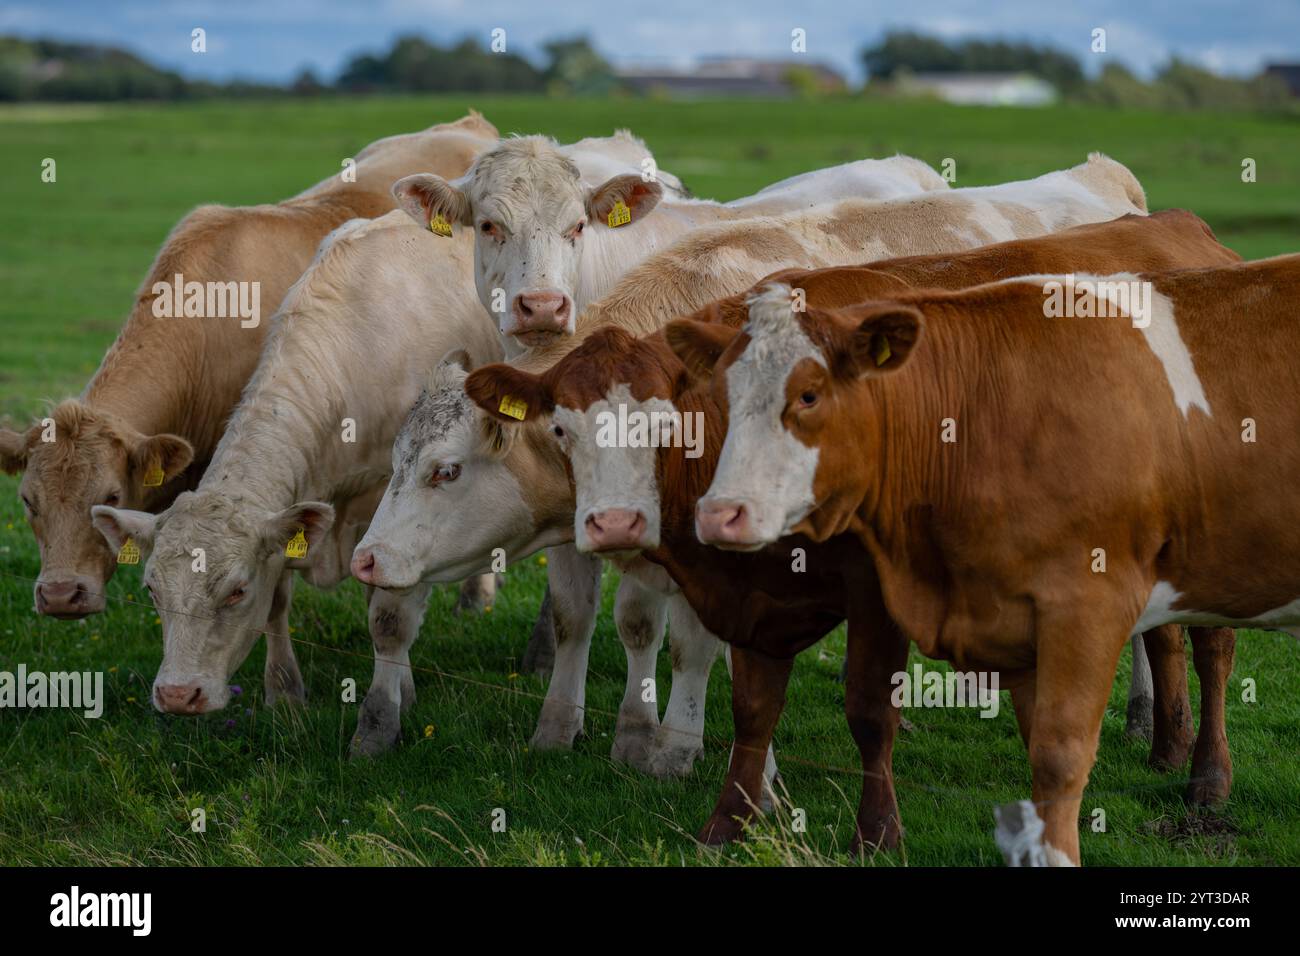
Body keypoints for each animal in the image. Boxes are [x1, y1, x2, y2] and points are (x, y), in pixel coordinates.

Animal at [86, 134, 681, 757]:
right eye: (151, 590)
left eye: (234, 591)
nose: (178, 695)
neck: (353, 343)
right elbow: (283, 601)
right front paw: (285, 693)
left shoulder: (391, 500)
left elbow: (389, 611)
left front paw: (384, 716)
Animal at [351, 156, 1152, 781]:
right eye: (396, 462)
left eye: (446, 471)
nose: (367, 559)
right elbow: (593, 618)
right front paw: (566, 732)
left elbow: (692, 640)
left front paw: (673, 748)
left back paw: (1148, 720)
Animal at [461, 210, 1243, 849]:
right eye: (561, 430)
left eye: (665, 427)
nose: (613, 523)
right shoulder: (752, 592)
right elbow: (751, 706)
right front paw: (738, 813)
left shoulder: (876, 591)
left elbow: (869, 710)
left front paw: (877, 833)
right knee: (1166, 635)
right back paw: (1165, 746)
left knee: (1212, 646)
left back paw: (1206, 777)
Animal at [679, 253, 1300, 864]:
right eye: (724, 398)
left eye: (809, 394)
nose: (719, 513)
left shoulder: (1089, 605)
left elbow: (1060, 758)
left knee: (1212, 652)